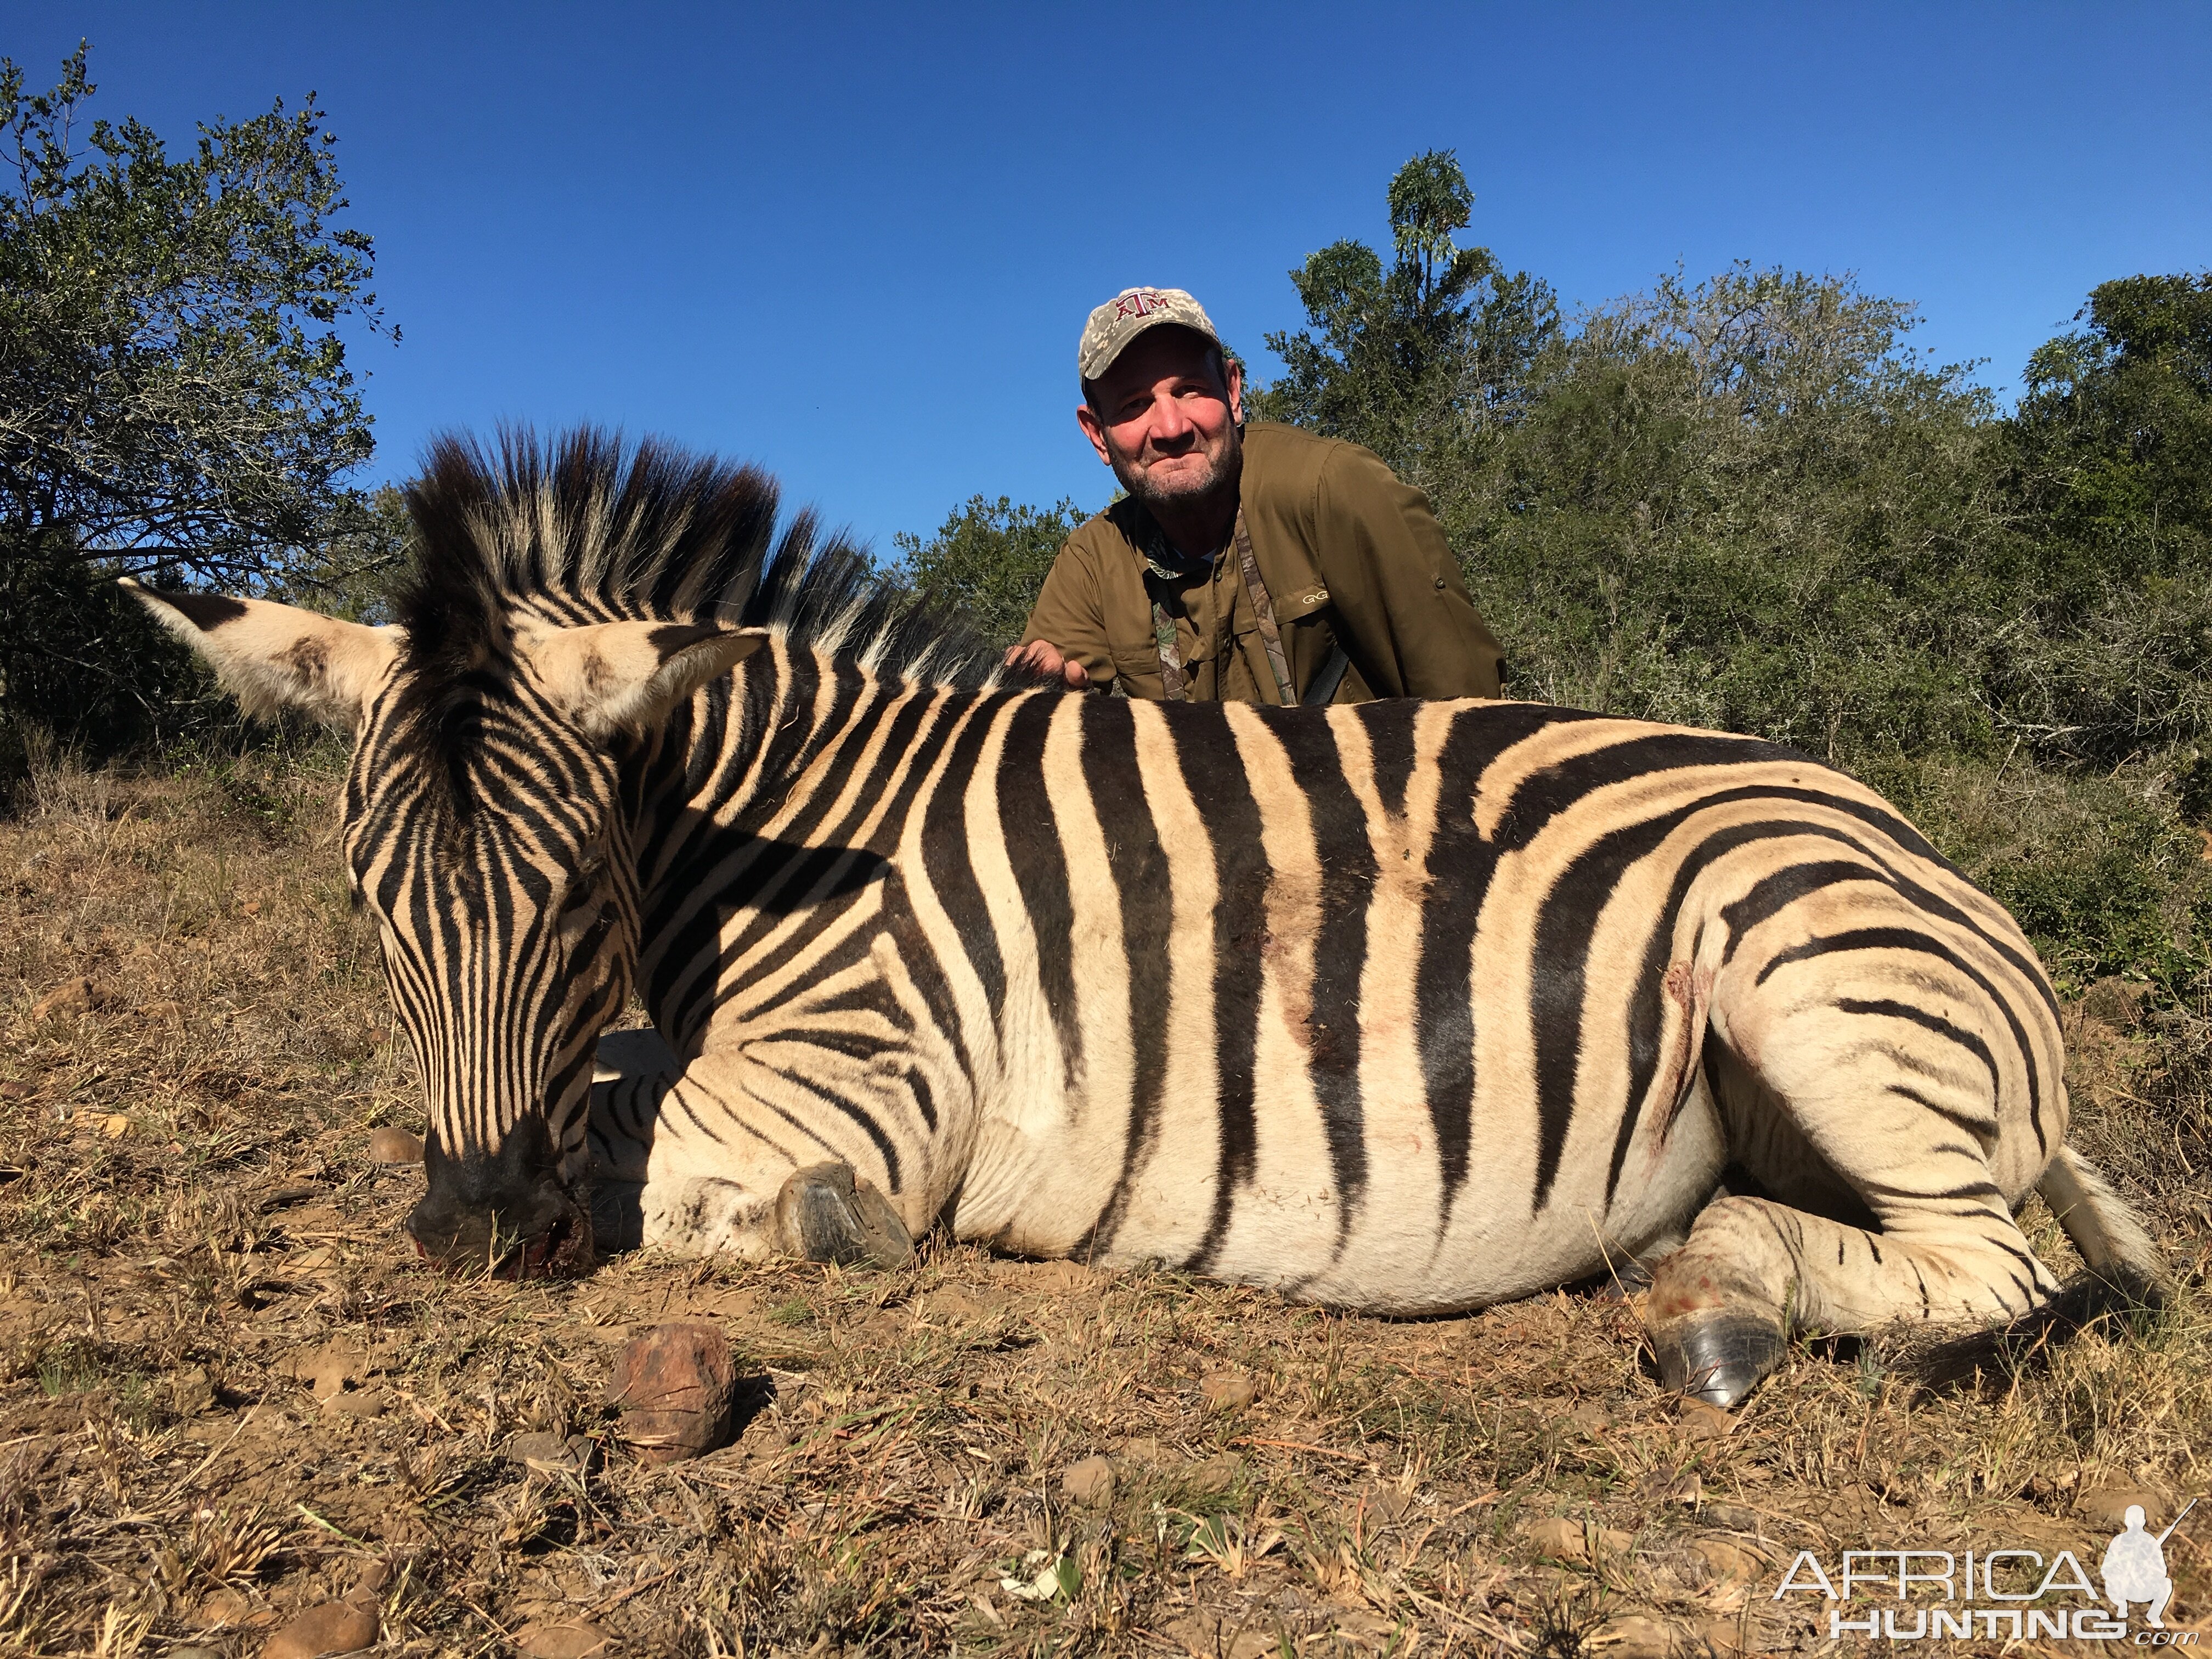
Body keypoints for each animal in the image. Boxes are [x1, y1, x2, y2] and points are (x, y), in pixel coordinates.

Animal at [121, 431, 2159, 1415]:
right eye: (369, 905)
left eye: (568, 897)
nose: (472, 1232)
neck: (788, 834)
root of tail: (1920, 855)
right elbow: (606, 1091)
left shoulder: (863, 1078)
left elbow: (654, 1131)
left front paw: (803, 1222)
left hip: (1806, 976)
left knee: (1986, 1273)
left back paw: (1717, 1303)